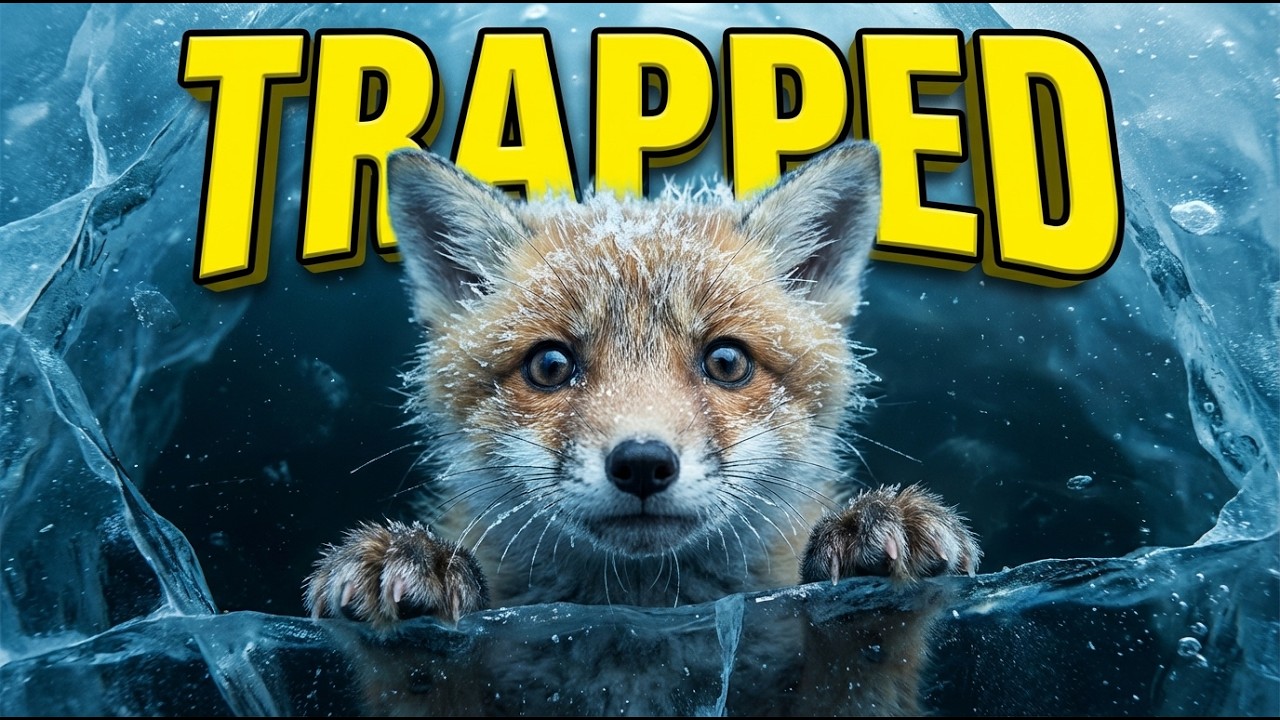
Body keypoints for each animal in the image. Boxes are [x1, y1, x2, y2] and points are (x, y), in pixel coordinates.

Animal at [303, 141, 980, 713]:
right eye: (550, 365)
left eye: (726, 361)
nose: (643, 464)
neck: (641, 629)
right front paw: (411, 571)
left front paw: (877, 552)